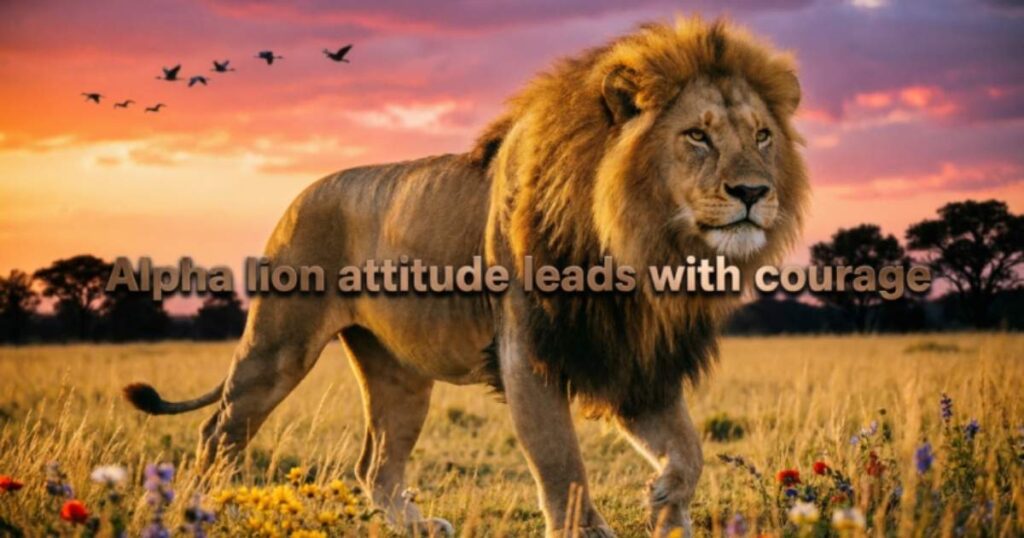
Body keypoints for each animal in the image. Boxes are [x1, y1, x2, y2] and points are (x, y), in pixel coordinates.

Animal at [124, 17, 808, 537]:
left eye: (762, 136)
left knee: (375, 466)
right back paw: (200, 513)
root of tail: (301, 192)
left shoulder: (631, 358)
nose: (754, 193)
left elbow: (689, 450)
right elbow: (563, 467)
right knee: (218, 433)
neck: (638, 249)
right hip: (277, 348)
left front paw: (666, 499)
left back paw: (418, 526)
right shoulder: (528, 354)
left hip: (398, 374)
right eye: (696, 137)